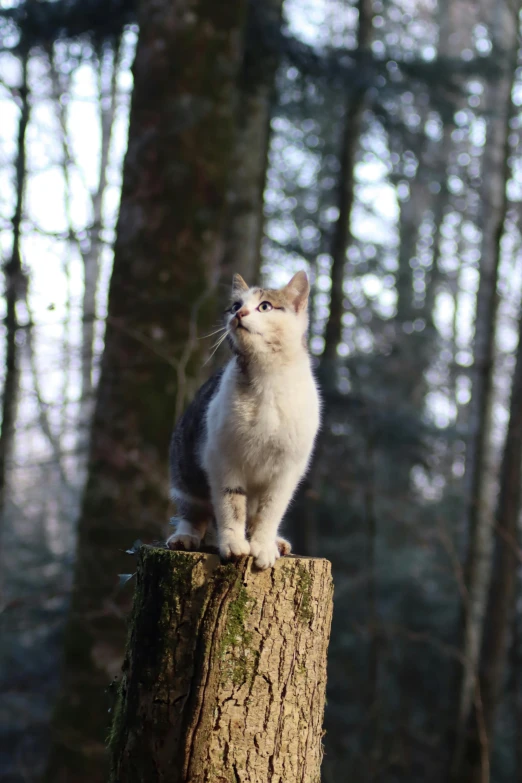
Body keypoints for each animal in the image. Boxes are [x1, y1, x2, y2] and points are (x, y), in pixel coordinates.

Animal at [167, 270, 320, 568]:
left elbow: (270, 511)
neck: (267, 377)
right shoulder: (223, 458)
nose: (239, 313)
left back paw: (277, 542)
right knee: (195, 513)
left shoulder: (287, 469)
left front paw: (263, 546)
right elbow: (231, 504)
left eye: (265, 306)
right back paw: (186, 537)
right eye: (236, 305)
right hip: (185, 472)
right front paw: (234, 544)